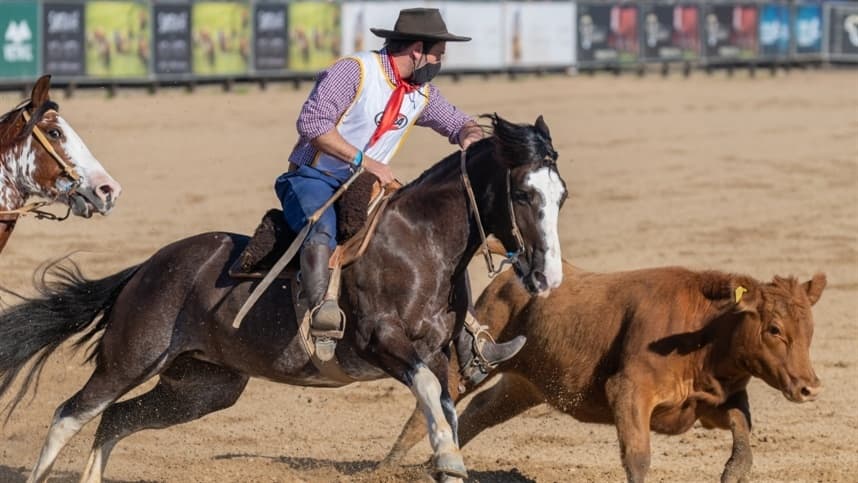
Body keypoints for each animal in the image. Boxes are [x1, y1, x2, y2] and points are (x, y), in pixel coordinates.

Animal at [0, 114, 567, 483]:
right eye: (523, 193)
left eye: (560, 196)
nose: (548, 276)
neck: (417, 243)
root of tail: (146, 269)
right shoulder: (382, 344)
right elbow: (430, 394)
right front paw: (448, 460)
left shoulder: (438, 353)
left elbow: (442, 410)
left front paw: (448, 460)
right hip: (129, 360)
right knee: (70, 414)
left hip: (202, 386)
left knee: (115, 420)